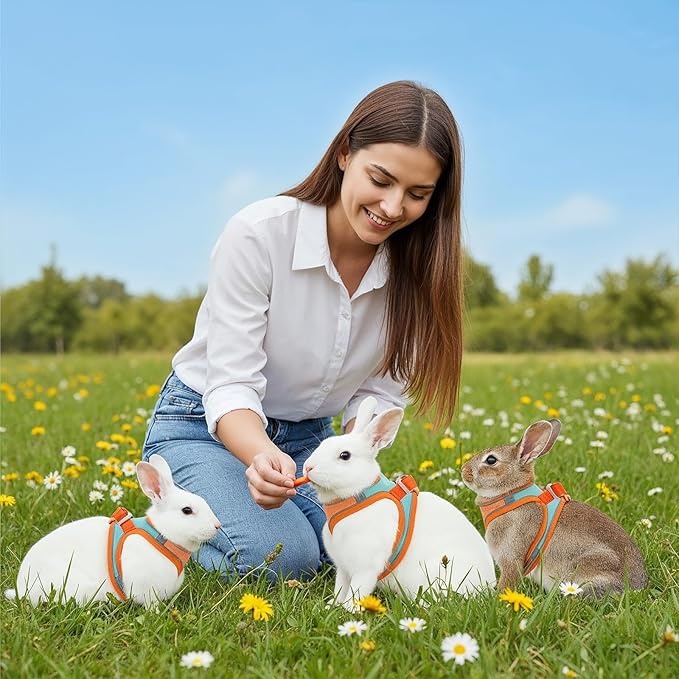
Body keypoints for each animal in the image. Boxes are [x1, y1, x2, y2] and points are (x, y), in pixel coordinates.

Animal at [5, 454, 221, 608]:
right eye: (187, 511)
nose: (217, 526)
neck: (162, 536)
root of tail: (21, 589)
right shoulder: (146, 588)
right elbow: (151, 604)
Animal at [301, 396, 496, 610]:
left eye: (345, 455)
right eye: (323, 444)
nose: (308, 467)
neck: (356, 498)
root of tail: (488, 586)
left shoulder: (365, 567)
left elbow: (356, 591)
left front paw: (349, 610)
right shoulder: (343, 568)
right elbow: (340, 588)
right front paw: (332, 606)